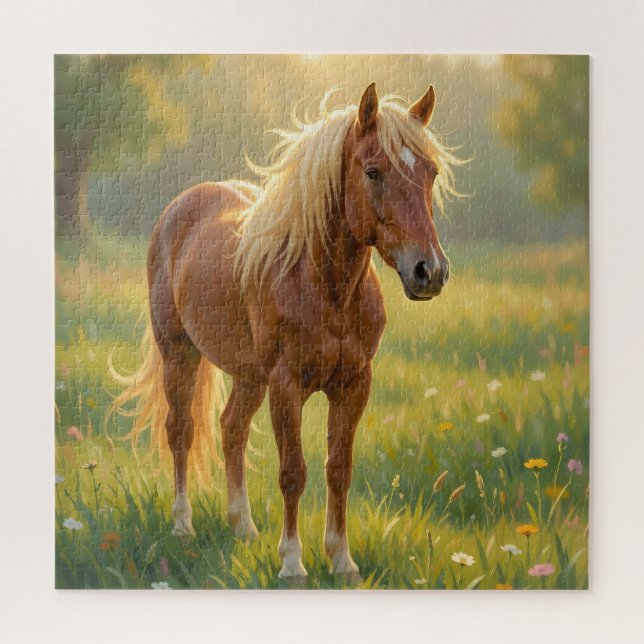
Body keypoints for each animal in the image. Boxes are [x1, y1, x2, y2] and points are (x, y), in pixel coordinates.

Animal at [108, 82, 461, 580]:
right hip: (180, 354)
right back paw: (183, 526)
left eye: (430, 173)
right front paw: (292, 563)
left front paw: (342, 560)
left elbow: (339, 469)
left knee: (231, 429)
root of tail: (181, 208)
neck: (324, 287)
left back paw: (243, 526)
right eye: (373, 172)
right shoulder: (286, 386)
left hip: (248, 375)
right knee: (182, 430)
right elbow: (293, 471)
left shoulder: (354, 385)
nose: (429, 271)